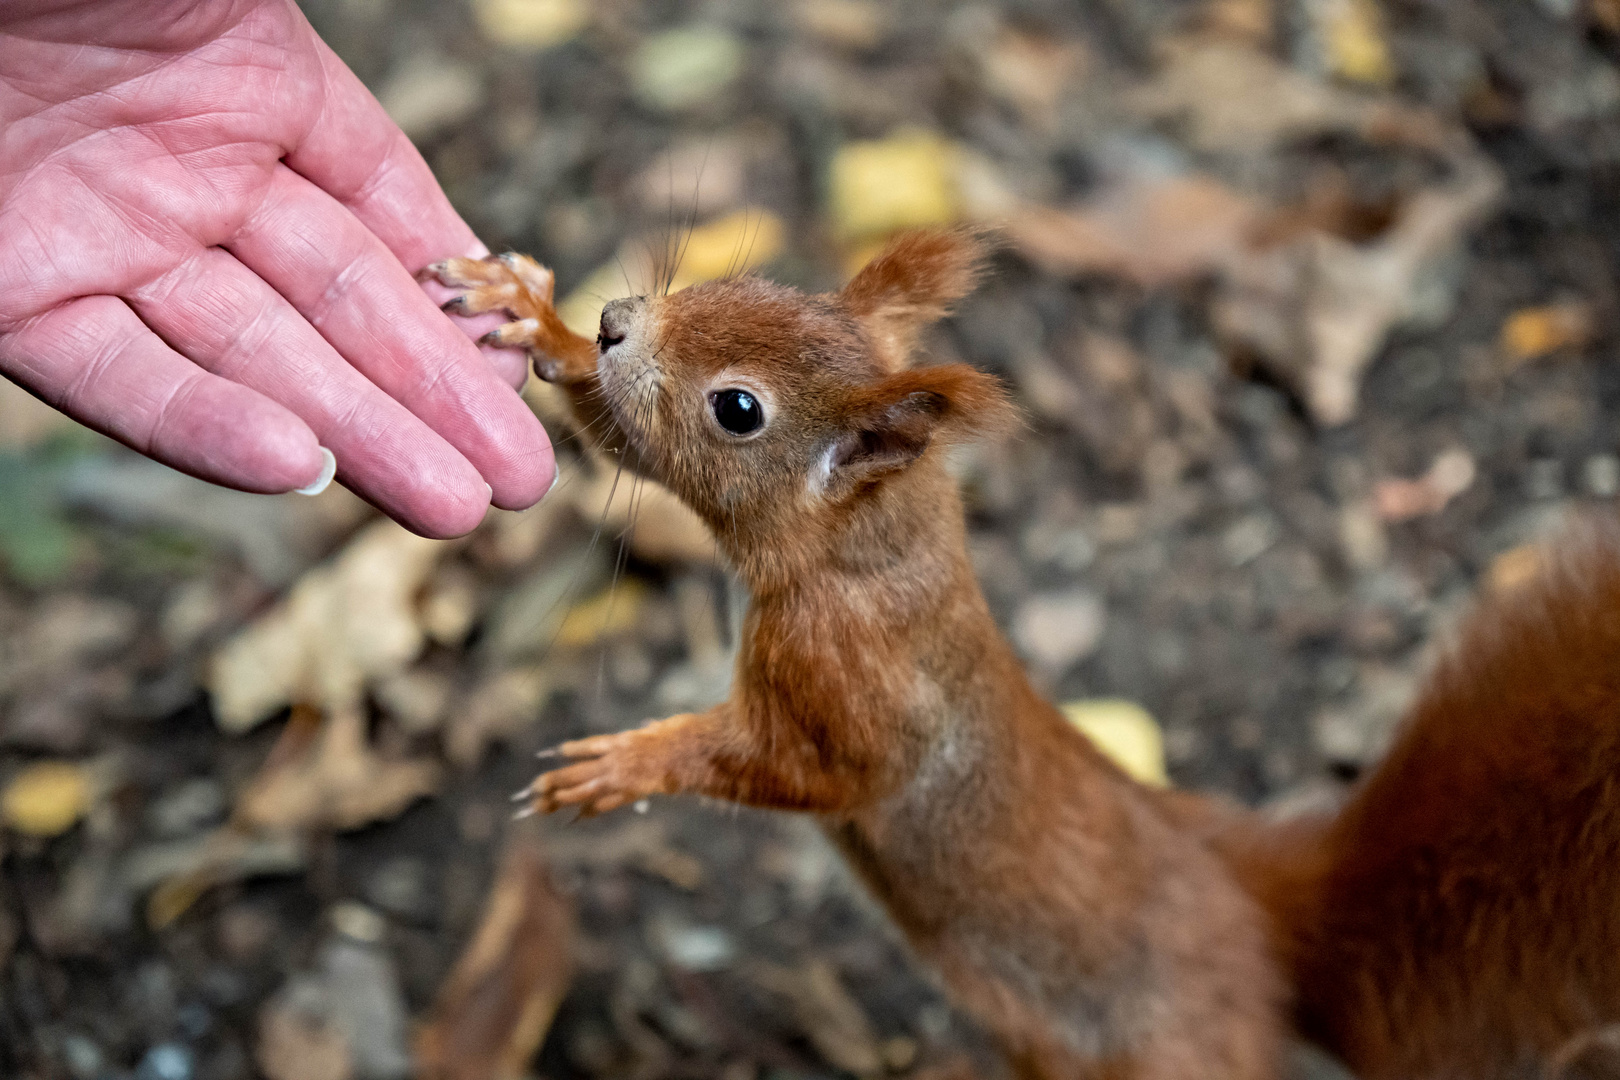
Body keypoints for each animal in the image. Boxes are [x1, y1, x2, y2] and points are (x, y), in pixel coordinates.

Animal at [434, 229, 1620, 1080]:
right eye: (749, 279)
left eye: (738, 408)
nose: (616, 321)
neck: (874, 547)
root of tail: (1268, 938)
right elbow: (619, 434)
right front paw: (531, 314)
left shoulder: (857, 682)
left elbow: (826, 769)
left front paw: (623, 765)